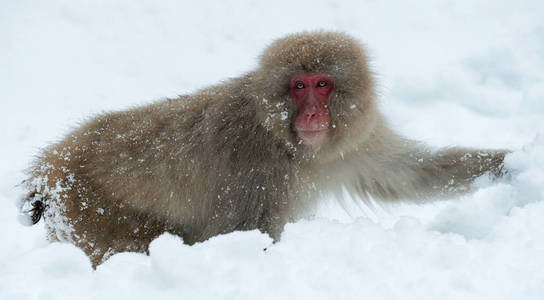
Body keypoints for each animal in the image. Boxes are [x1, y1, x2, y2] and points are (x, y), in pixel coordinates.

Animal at [19, 32, 508, 268]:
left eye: (323, 83)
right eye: (298, 86)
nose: (312, 114)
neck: (290, 143)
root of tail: (51, 164)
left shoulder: (351, 143)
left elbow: (406, 175)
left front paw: (510, 166)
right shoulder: (256, 167)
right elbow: (242, 235)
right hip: (90, 210)